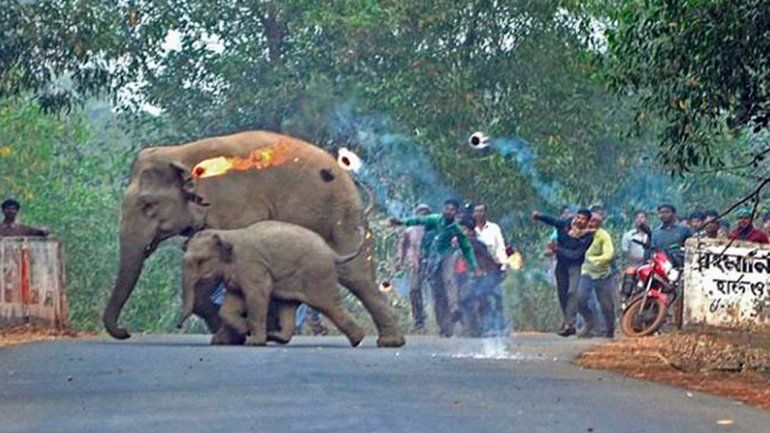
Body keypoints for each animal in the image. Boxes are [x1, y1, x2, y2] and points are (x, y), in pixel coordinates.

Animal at [176, 221, 367, 347]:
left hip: (317, 273)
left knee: (328, 305)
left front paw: (252, 340)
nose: (178, 326)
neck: (227, 233)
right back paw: (275, 337)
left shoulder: (253, 267)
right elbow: (230, 304)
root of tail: (333, 253)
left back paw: (357, 340)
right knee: (288, 305)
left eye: (200, 261)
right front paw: (244, 331)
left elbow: (257, 296)